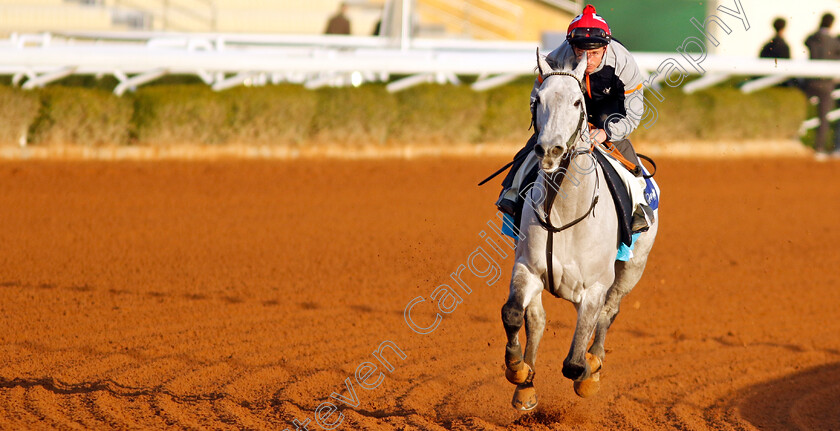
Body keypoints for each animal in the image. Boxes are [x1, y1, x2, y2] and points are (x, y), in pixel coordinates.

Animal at [498, 51, 656, 412]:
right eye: (537, 100)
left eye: (576, 102)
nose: (550, 150)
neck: (563, 212)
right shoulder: (527, 268)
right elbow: (513, 313)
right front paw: (517, 369)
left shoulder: (596, 285)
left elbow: (574, 361)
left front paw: (587, 376)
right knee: (537, 319)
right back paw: (525, 387)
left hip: (632, 268)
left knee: (608, 314)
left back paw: (594, 363)